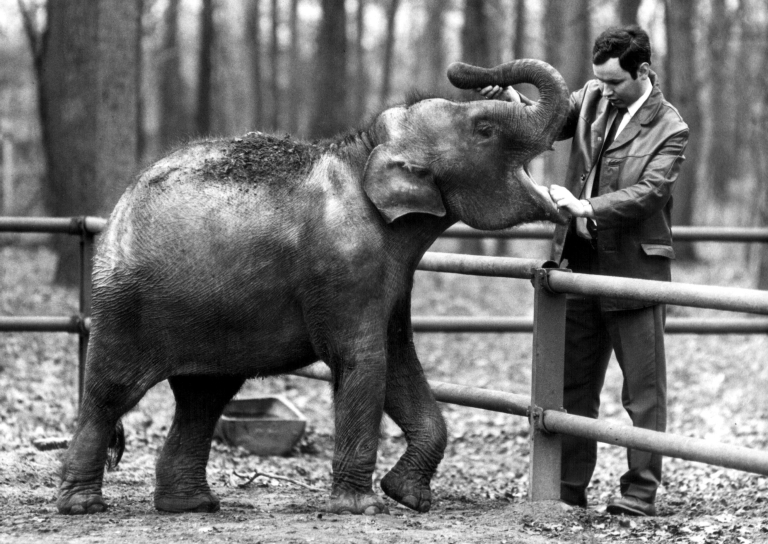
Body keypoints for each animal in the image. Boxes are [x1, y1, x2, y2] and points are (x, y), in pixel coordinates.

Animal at [55, 57, 568, 516]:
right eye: (484, 129)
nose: (467, 71)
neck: (364, 150)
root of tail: (116, 209)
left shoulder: (391, 276)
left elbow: (398, 358)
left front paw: (408, 496)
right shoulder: (343, 263)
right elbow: (364, 361)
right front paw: (362, 507)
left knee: (204, 396)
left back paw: (191, 506)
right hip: (125, 304)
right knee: (111, 393)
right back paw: (84, 506)